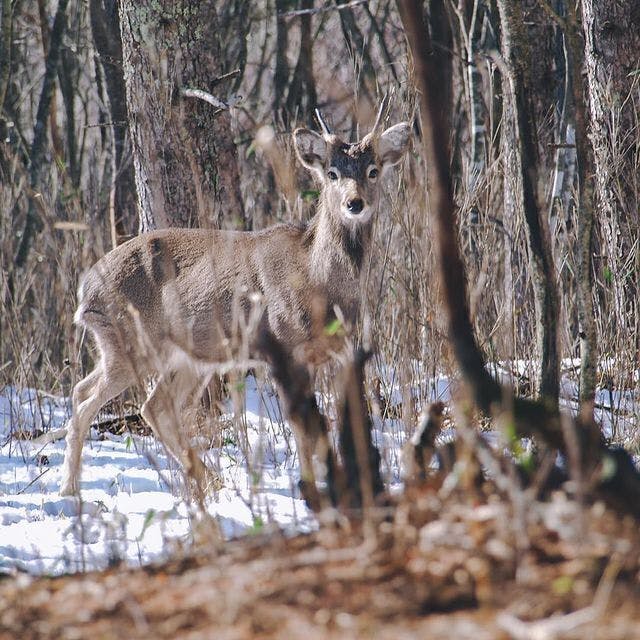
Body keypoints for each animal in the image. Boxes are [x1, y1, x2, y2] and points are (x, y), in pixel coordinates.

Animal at [60, 104, 410, 496]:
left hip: (182, 356)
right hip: (128, 343)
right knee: (89, 402)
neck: (317, 281)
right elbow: (303, 426)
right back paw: (69, 490)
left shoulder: (338, 350)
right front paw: (308, 487)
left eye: (373, 170)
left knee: (144, 404)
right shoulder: (283, 347)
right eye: (332, 173)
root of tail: (85, 290)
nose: (354, 203)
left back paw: (209, 481)